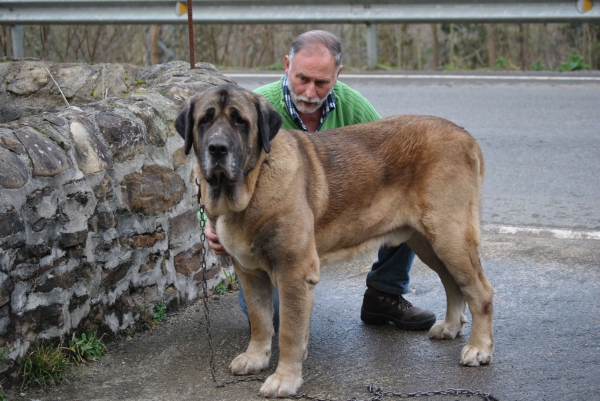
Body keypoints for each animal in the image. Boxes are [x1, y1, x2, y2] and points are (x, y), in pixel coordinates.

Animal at [173, 83, 492, 396]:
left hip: (449, 236)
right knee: (453, 283)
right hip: (428, 242)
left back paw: (478, 348)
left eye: (240, 121)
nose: (217, 148)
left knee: (480, 291)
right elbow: (260, 320)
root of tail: (466, 136)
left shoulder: (293, 273)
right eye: (205, 121)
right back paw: (450, 326)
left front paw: (284, 379)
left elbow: (289, 332)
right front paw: (255, 358)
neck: (253, 183)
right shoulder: (250, 273)